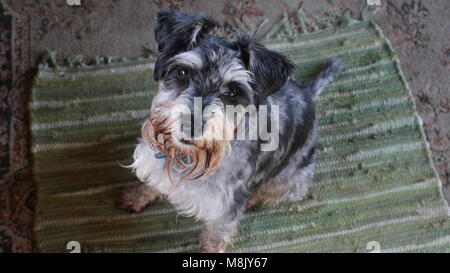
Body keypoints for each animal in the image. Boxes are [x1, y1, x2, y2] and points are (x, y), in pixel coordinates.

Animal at [116, 8, 342, 252]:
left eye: (233, 91)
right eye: (184, 72)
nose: (191, 125)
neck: (186, 157)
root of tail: (308, 92)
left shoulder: (223, 210)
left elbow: (215, 238)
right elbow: (150, 182)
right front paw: (136, 196)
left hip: (292, 179)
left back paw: (253, 197)